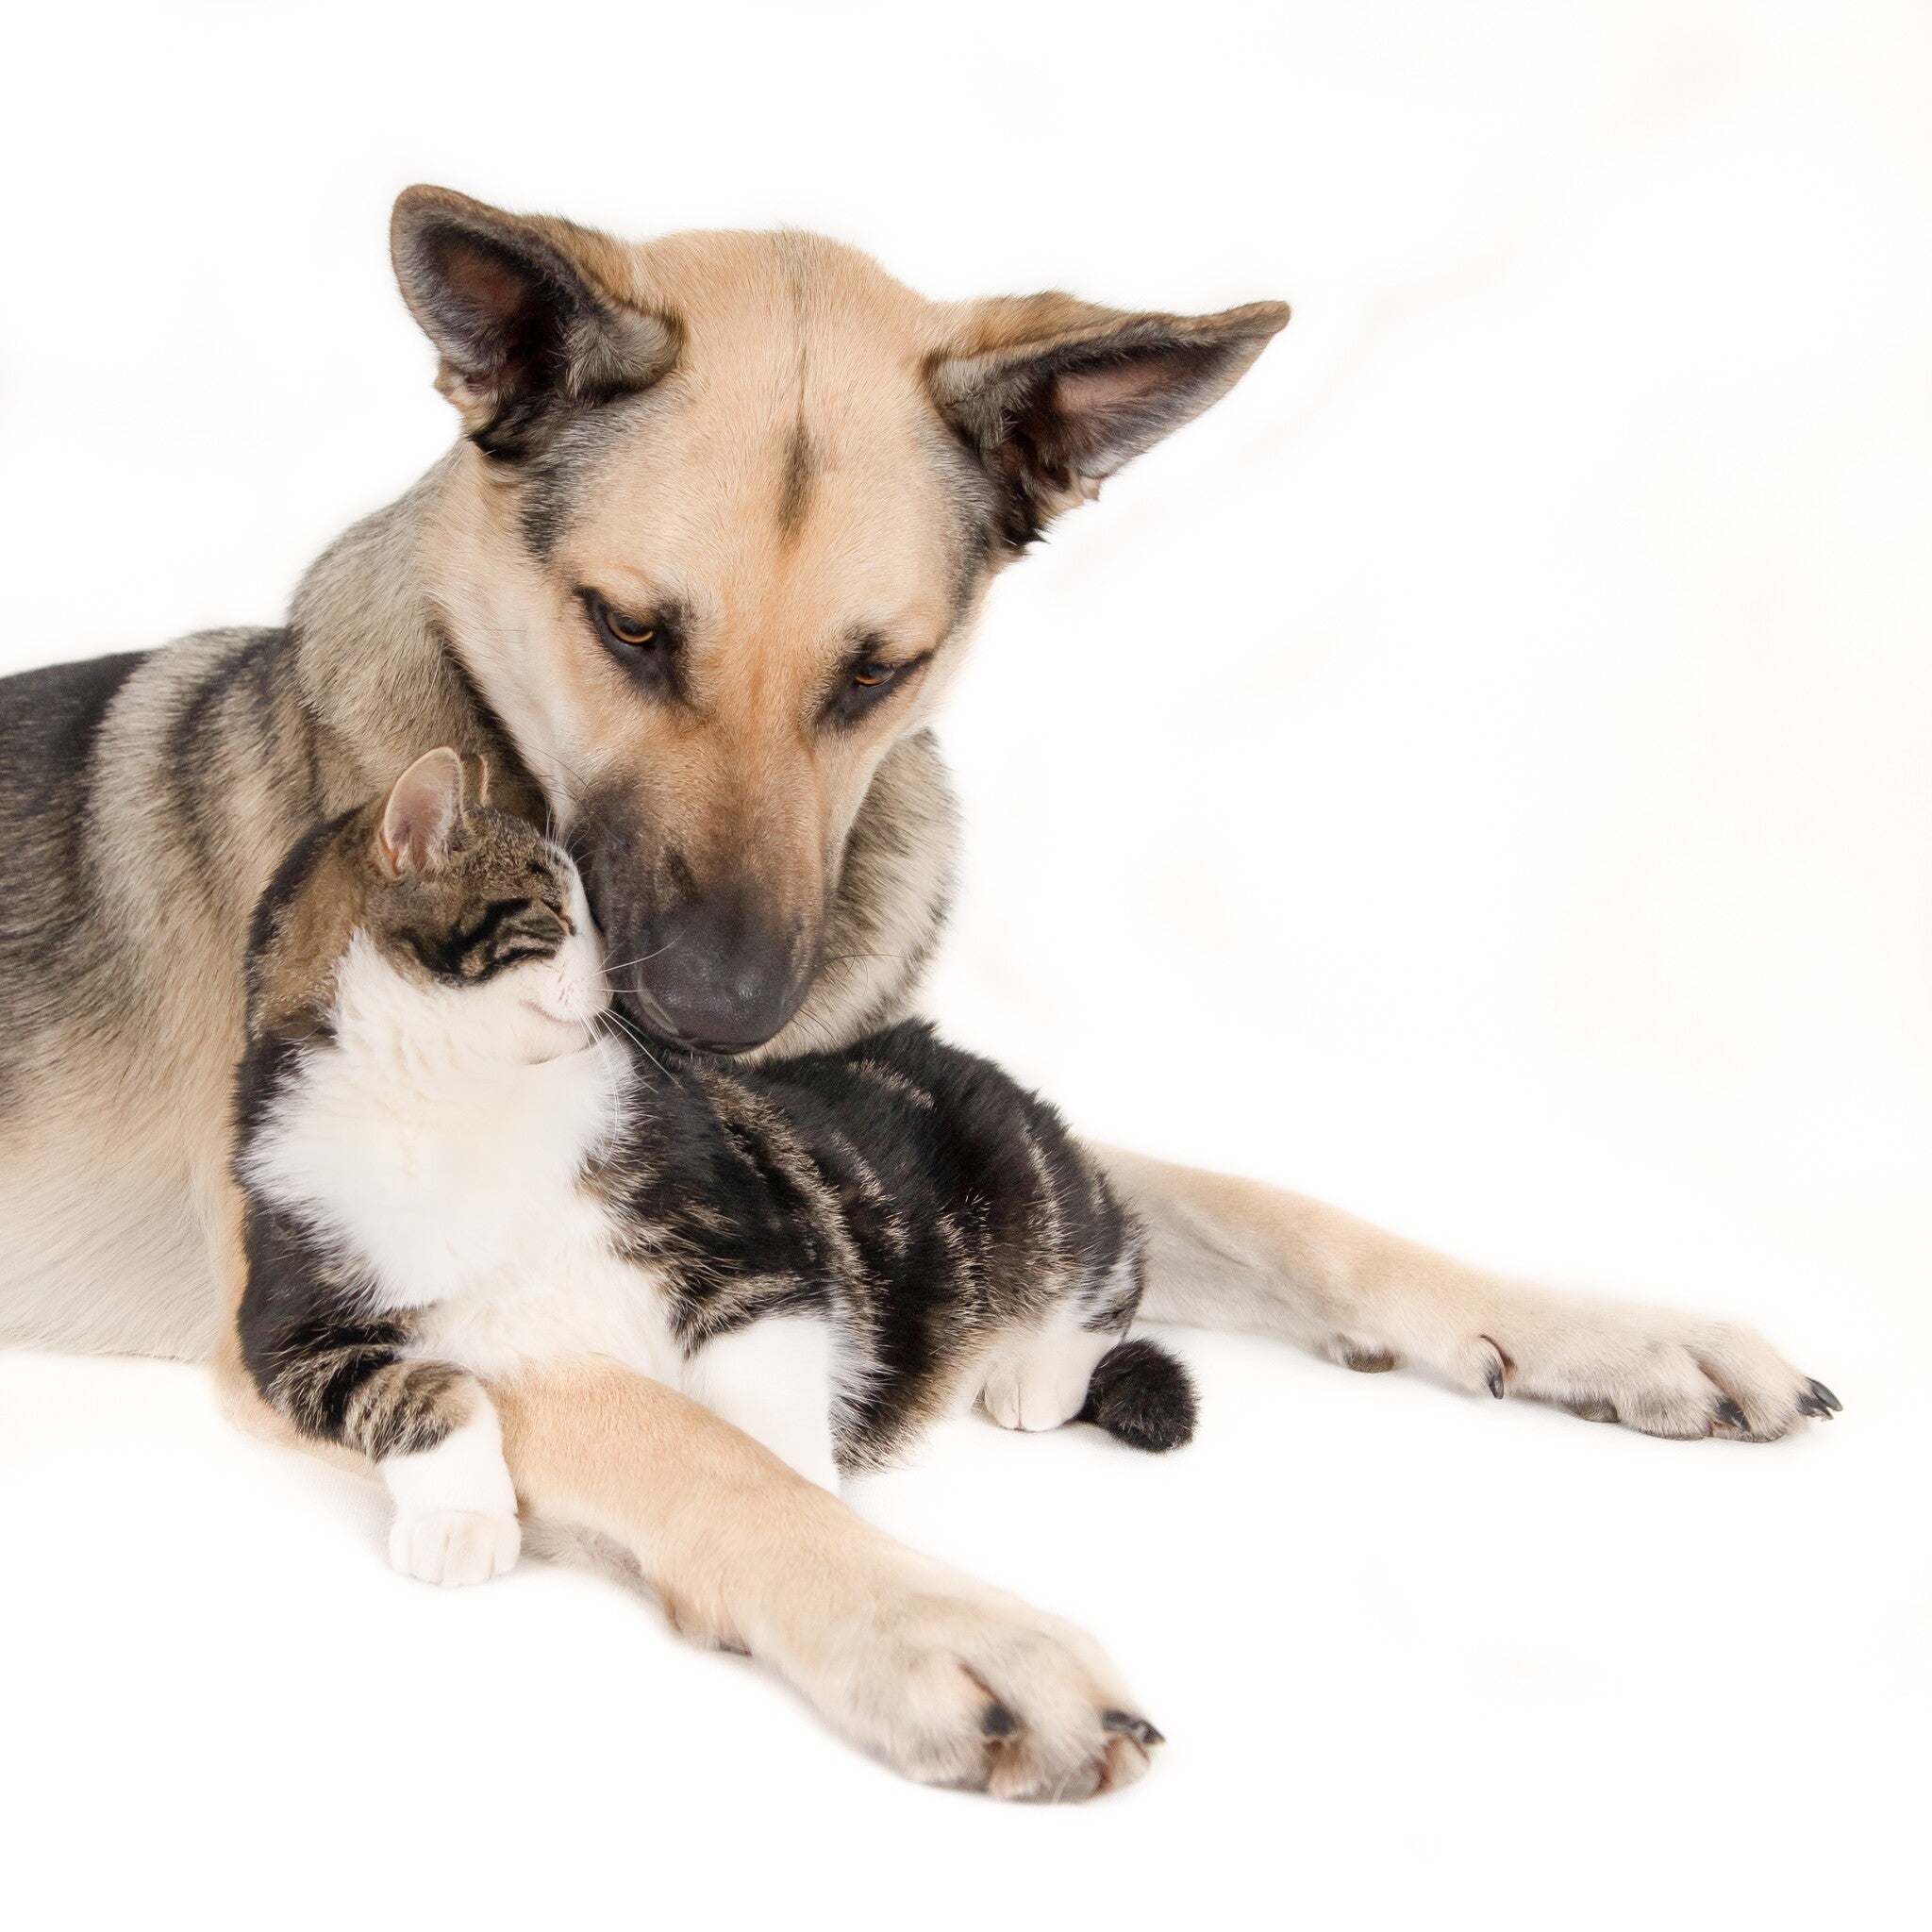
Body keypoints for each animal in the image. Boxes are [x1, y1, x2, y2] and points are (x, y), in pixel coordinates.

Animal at [229, 745, 1190, 1576]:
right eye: (554, 915)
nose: (619, 983)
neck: (456, 1095)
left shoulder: (751, 1243)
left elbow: (767, 1380)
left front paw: (802, 1506)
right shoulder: (288, 1327)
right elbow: (419, 1394)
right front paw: (459, 1519)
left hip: (1026, 1187)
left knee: (1114, 1256)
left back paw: (1038, 1371)